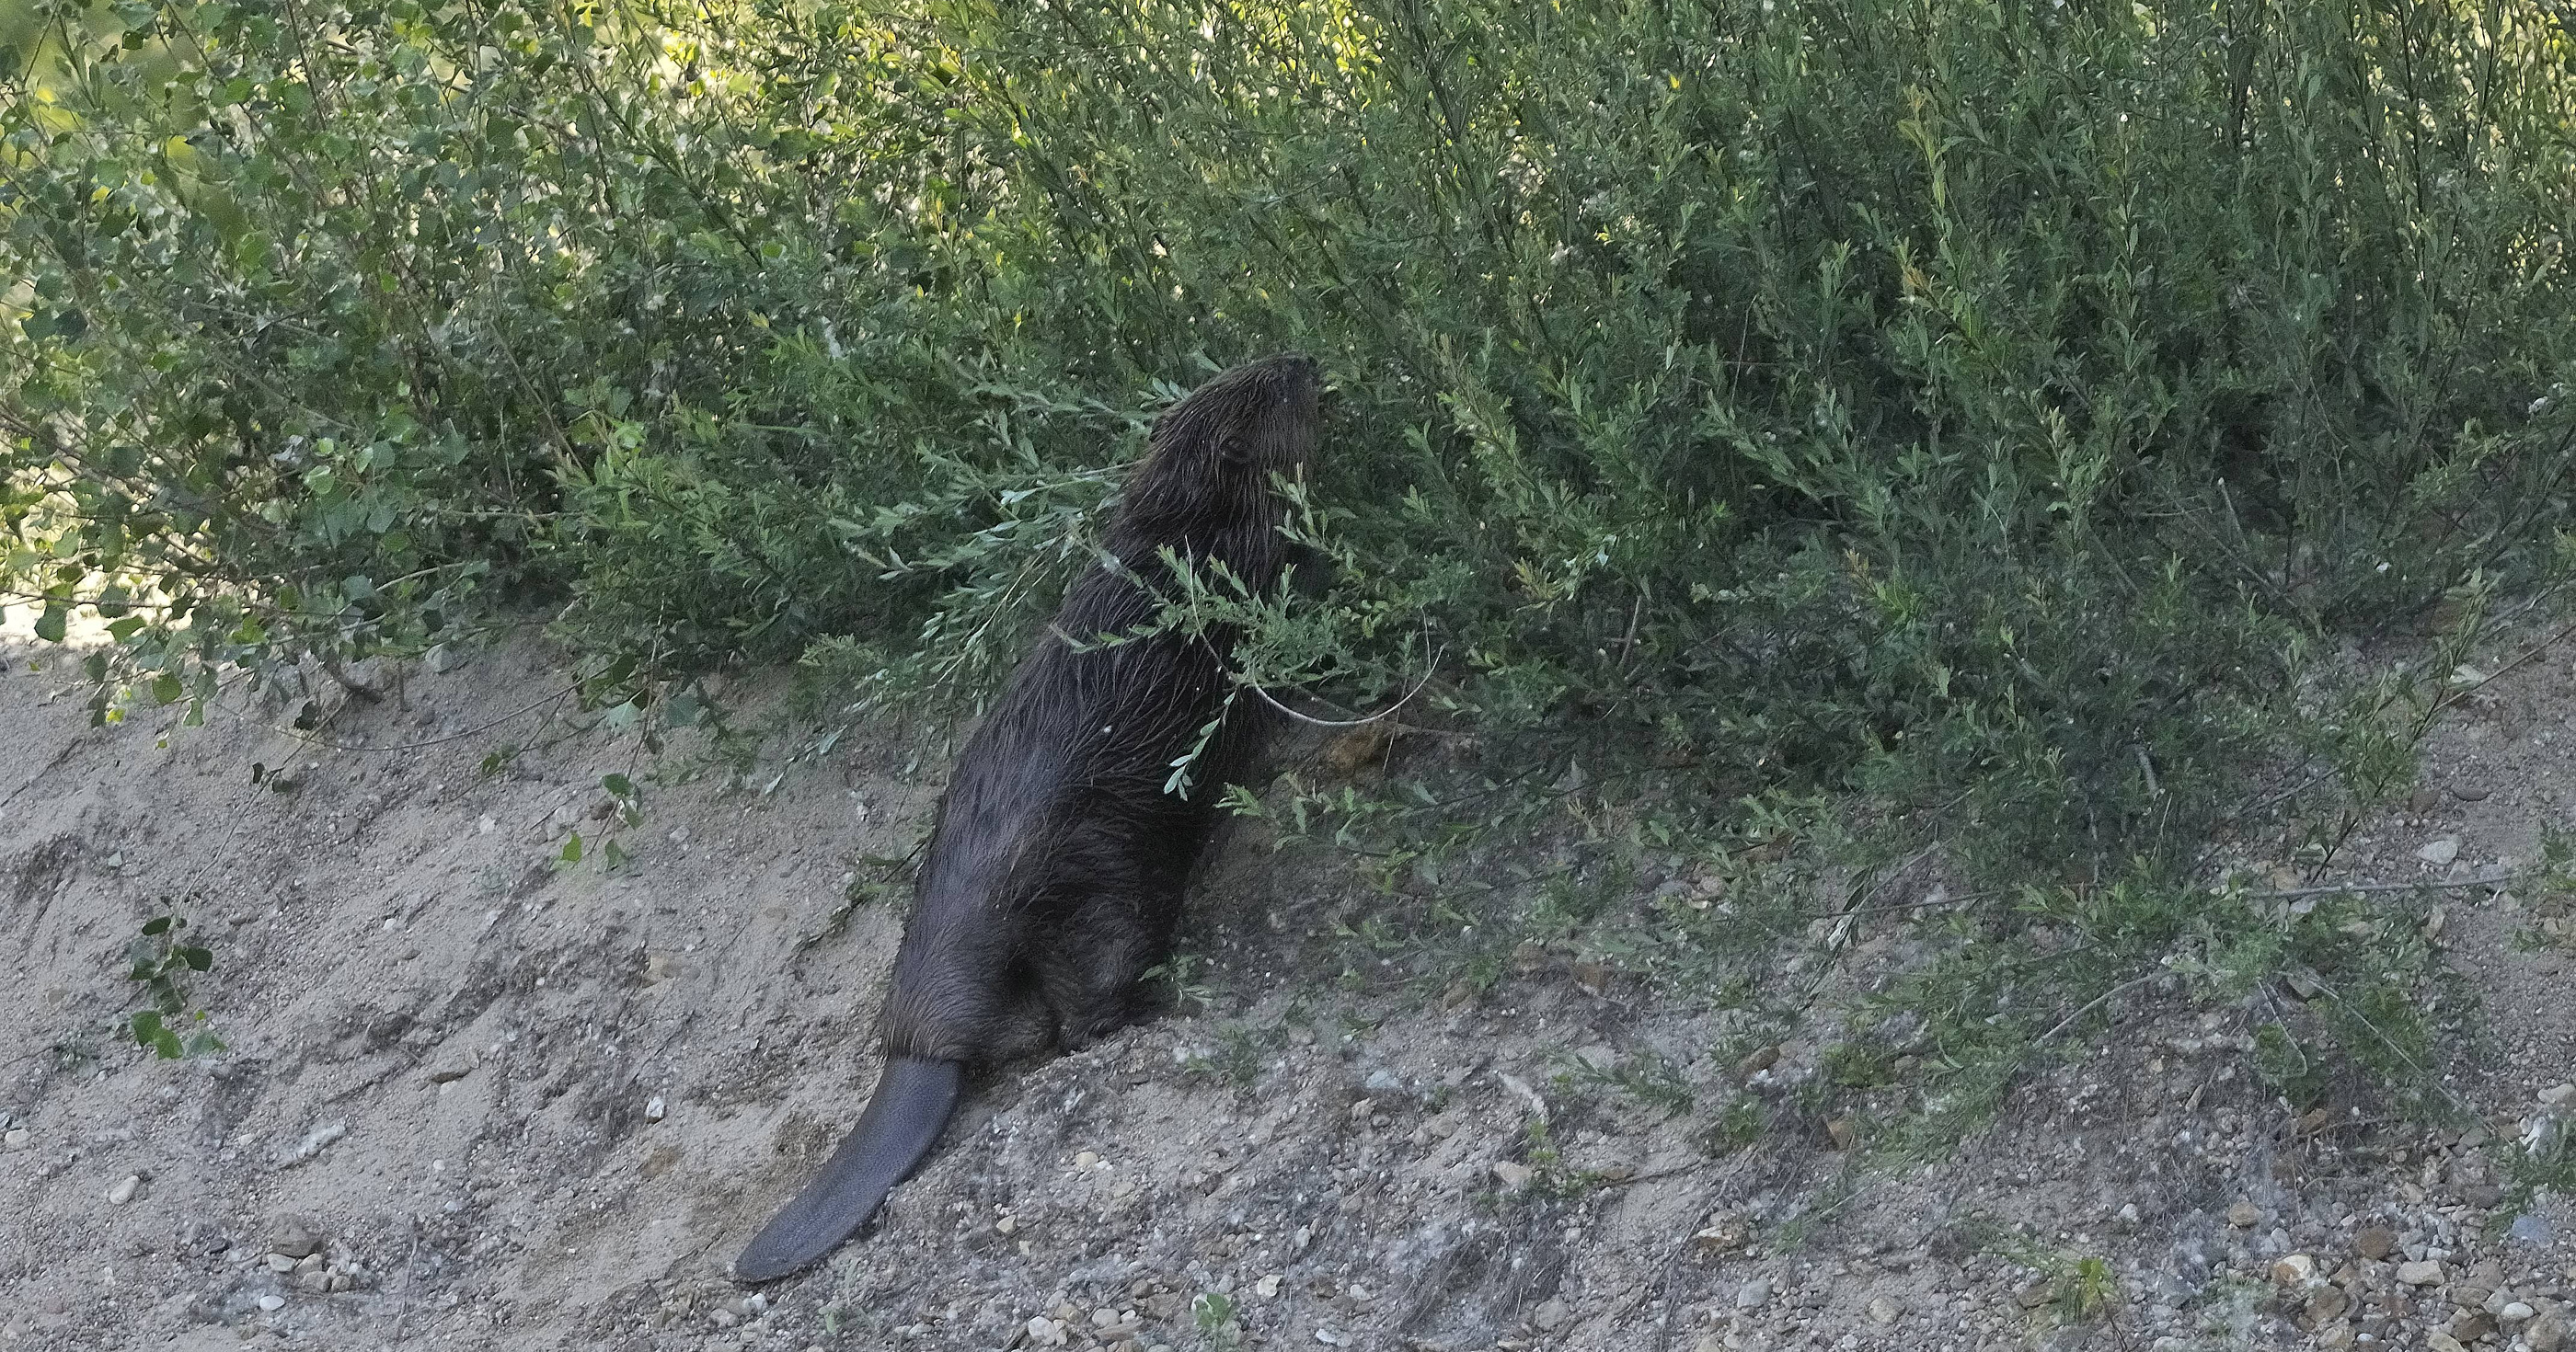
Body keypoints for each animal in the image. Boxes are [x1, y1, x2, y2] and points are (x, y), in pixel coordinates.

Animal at [731, 352, 1318, 1282]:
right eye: (1276, 388)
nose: (1310, 360)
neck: (1180, 527)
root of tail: (921, 1046)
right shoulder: (1252, 555)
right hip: (1104, 895)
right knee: (1078, 1016)